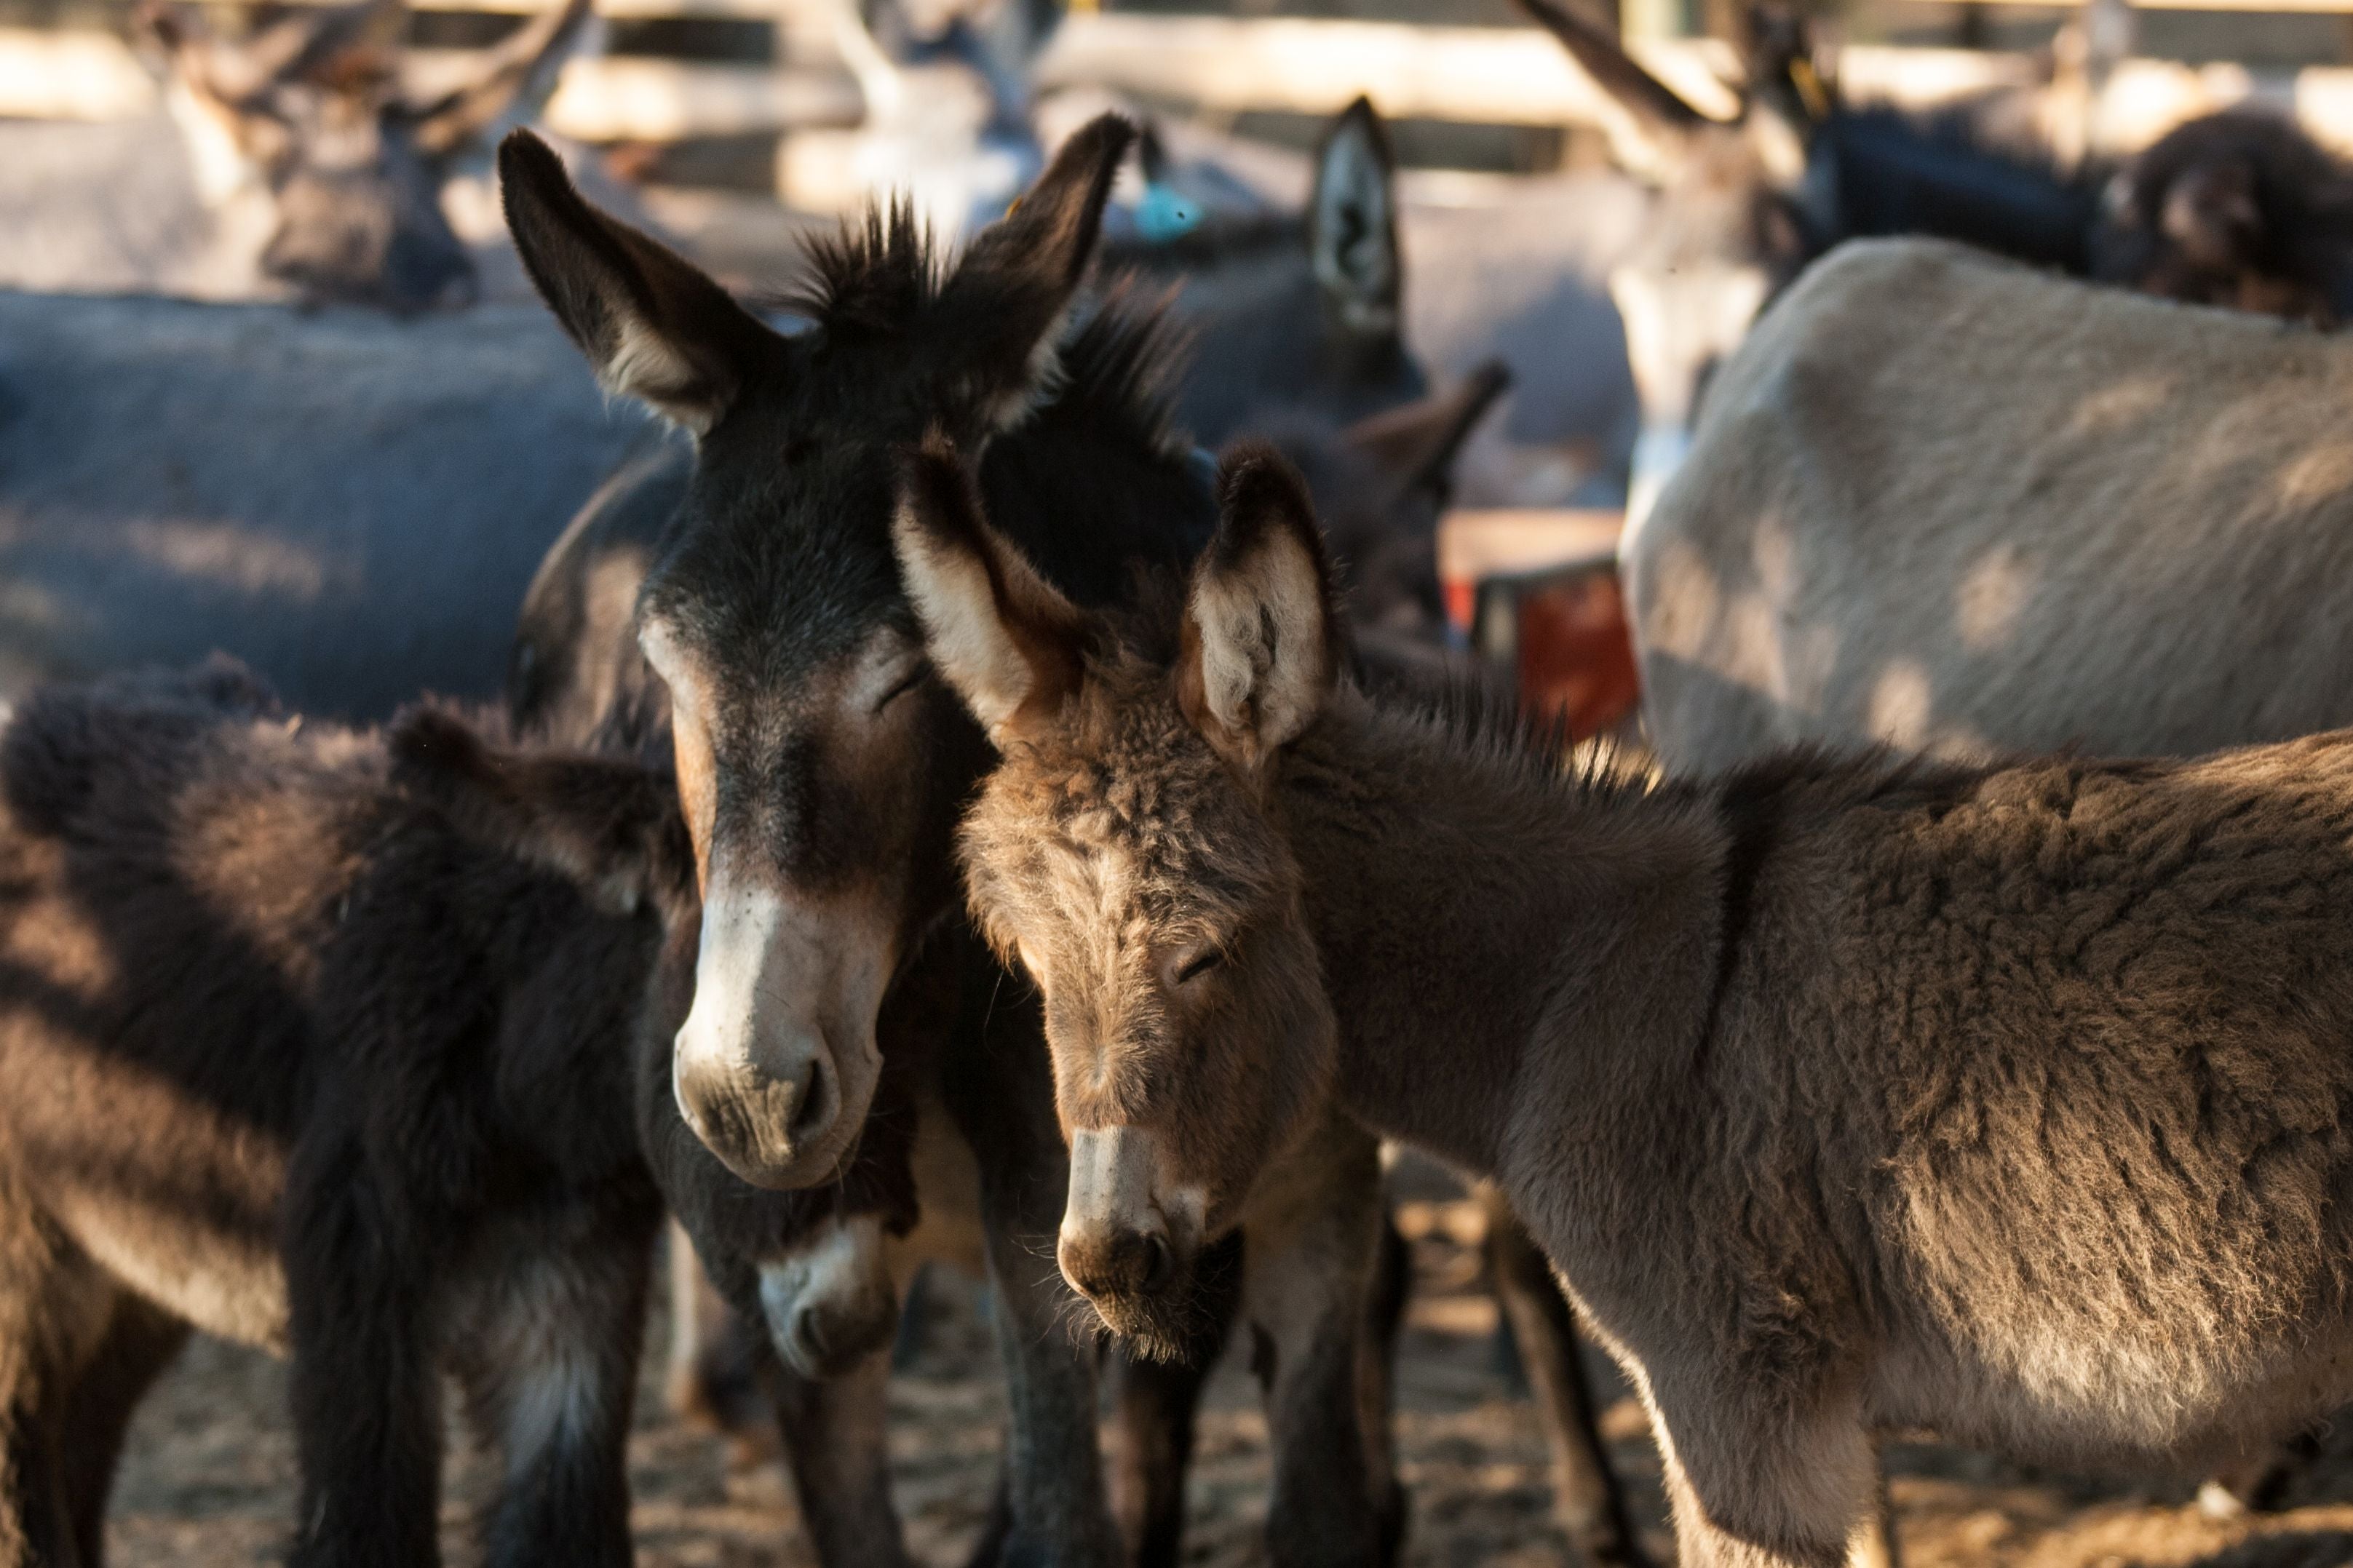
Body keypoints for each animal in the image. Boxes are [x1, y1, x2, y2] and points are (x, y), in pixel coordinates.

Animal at [894, 439, 2353, 1568]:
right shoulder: (1814, 1419)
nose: (1104, 1262)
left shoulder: (1733, 1406)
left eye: (1205, 950)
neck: (1583, 980)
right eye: (1030, 969)